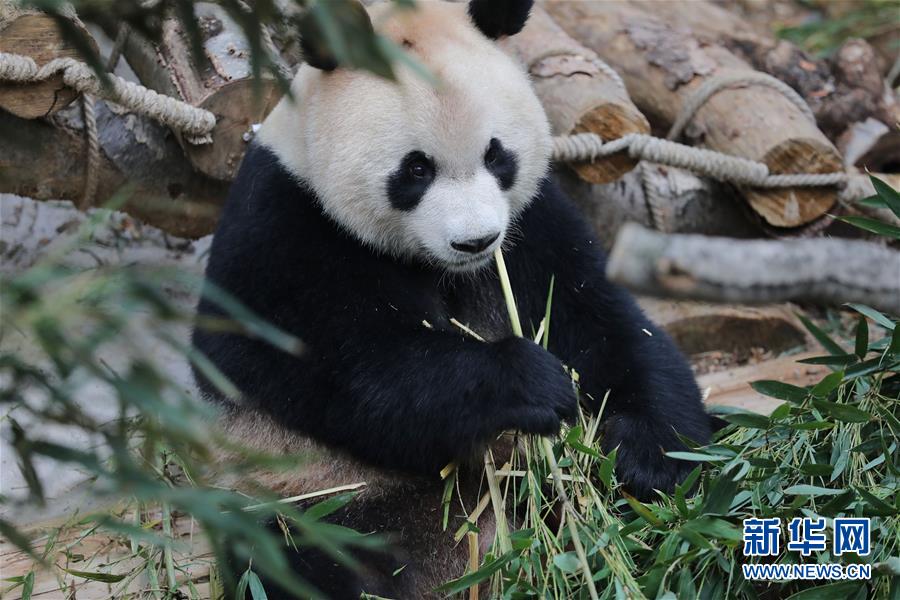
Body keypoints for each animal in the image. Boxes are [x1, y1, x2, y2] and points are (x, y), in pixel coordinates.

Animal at [193, 0, 712, 596]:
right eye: (416, 168)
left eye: (497, 155)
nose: (475, 240)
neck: (442, 269)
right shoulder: (285, 226)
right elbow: (349, 367)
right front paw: (529, 382)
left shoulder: (532, 224)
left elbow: (604, 321)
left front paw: (648, 461)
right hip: (317, 499)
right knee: (300, 562)